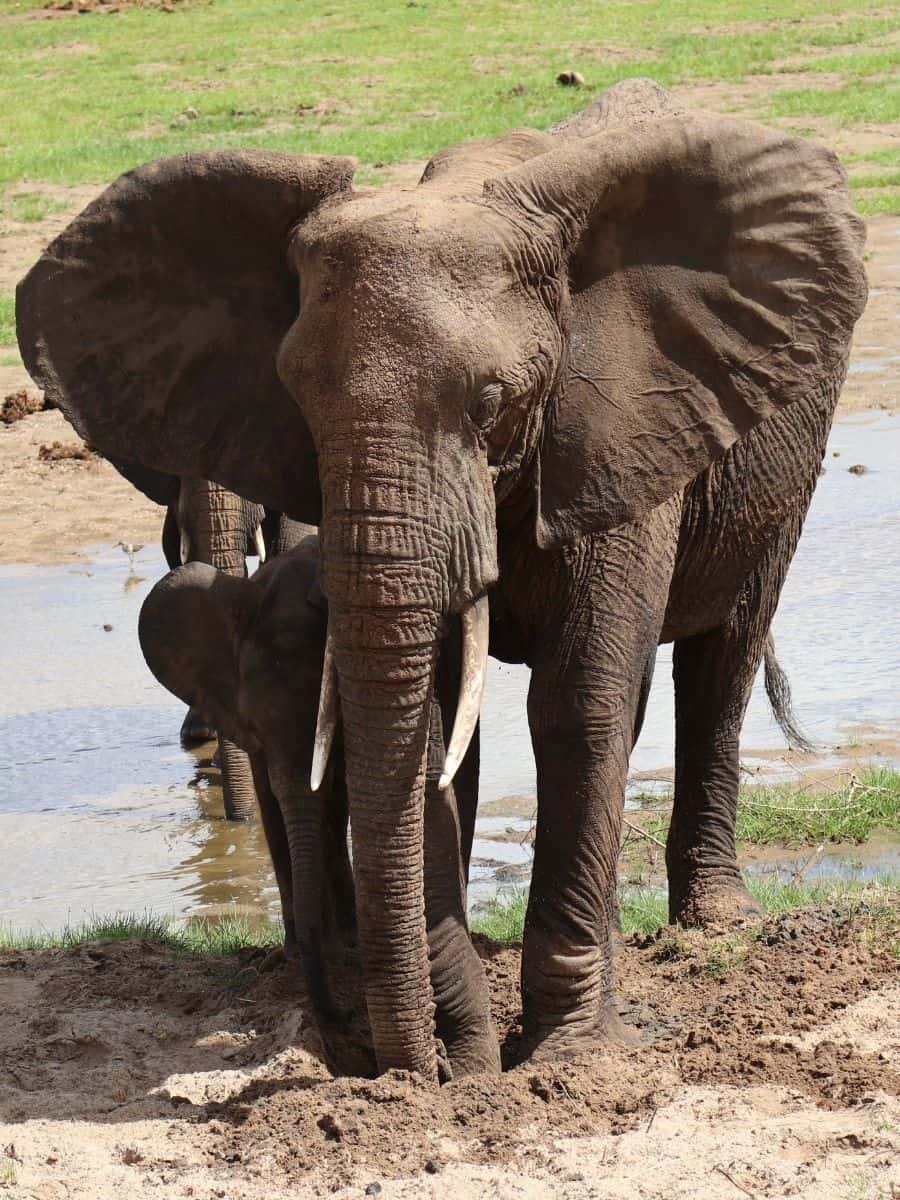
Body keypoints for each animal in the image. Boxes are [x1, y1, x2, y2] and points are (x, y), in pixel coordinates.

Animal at [138, 538, 495, 1077]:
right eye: (255, 725)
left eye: (339, 722)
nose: (343, 1015)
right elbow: (277, 807)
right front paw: (304, 953)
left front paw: (341, 951)